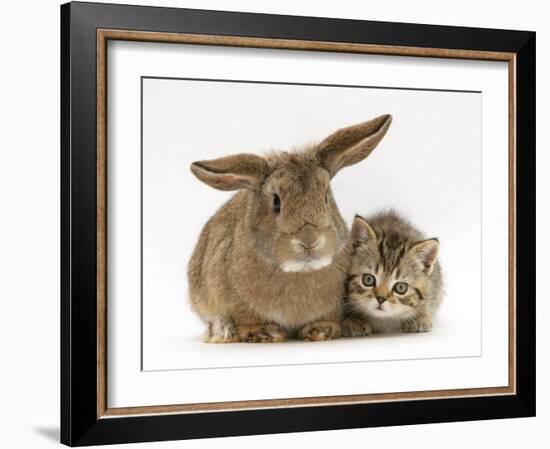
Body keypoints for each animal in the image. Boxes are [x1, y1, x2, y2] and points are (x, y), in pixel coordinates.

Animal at [189, 114, 392, 342]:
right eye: (276, 202)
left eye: (325, 197)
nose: (309, 240)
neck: (300, 271)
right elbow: (246, 320)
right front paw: (264, 332)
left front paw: (321, 330)